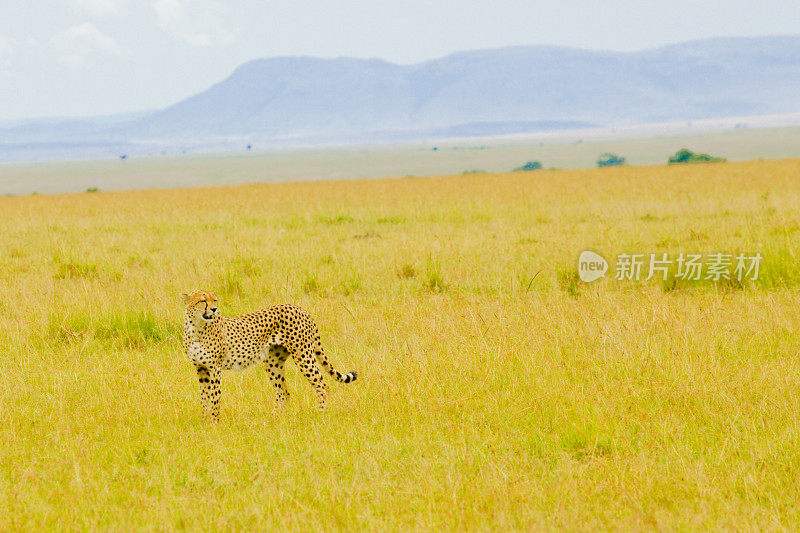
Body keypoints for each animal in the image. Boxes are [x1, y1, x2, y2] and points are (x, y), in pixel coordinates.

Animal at [183, 288, 358, 422]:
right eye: (203, 301)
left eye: (215, 300)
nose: (214, 310)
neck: (196, 328)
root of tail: (299, 308)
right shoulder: (201, 368)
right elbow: (204, 396)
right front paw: (206, 420)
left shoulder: (215, 368)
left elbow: (214, 396)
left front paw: (214, 422)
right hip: (274, 362)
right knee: (283, 393)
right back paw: (274, 418)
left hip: (303, 355)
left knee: (322, 385)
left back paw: (320, 412)